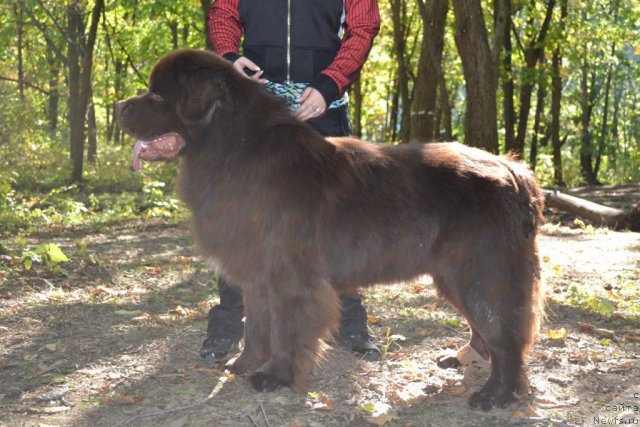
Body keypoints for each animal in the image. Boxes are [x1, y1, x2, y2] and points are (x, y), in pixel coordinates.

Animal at [116, 49, 544, 412]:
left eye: (158, 94)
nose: (117, 106)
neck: (232, 149)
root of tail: (513, 169)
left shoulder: (289, 278)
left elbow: (284, 330)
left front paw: (276, 377)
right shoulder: (256, 276)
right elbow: (256, 327)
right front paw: (244, 365)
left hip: (480, 272)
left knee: (506, 336)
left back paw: (496, 395)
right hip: (455, 276)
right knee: (488, 328)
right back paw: (466, 357)